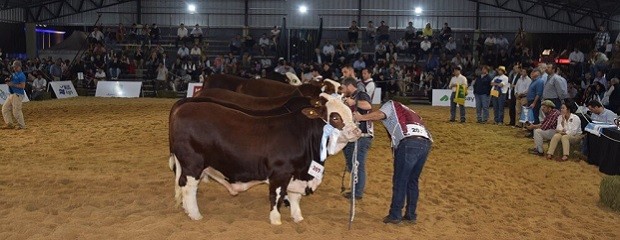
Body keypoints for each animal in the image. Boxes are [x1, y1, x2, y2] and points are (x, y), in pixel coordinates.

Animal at [170, 93, 364, 224]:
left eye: (350, 112)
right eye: (335, 117)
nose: (357, 131)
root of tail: (184, 106)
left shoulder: (298, 174)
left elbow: (295, 197)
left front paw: (298, 217)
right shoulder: (280, 172)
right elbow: (277, 195)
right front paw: (276, 219)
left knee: (182, 184)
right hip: (193, 164)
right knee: (189, 187)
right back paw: (195, 215)